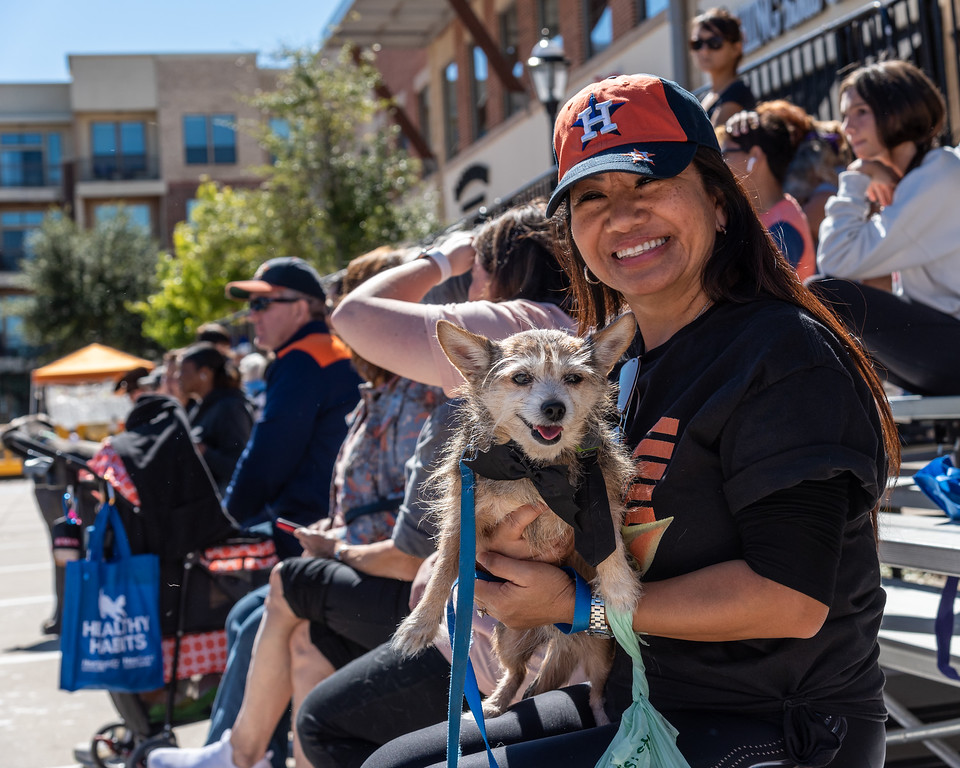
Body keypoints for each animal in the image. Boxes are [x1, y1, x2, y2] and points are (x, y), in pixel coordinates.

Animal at [394, 312, 640, 728]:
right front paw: (420, 624)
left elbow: (610, 546)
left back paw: (604, 720)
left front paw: (620, 589)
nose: (555, 408)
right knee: (518, 673)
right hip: (508, 640)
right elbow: (443, 569)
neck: (534, 468)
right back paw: (493, 705)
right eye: (522, 377)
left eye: (574, 378)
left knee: (596, 692)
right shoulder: (463, 517)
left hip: (600, 651)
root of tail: (556, 633)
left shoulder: (602, 496)